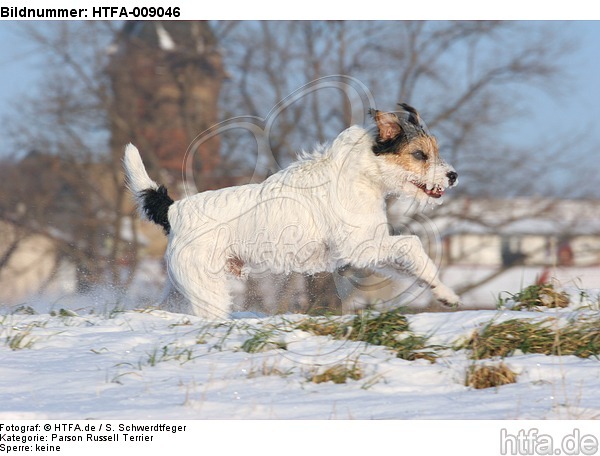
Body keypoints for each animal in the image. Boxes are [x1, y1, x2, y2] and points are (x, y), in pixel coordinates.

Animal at [122, 103, 460, 318]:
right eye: (420, 154)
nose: (453, 176)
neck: (364, 172)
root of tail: (174, 210)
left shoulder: (370, 248)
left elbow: (411, 263)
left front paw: (443, 293)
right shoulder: (360, 246)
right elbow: (412, 245)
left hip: (181, 287)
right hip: (208, 290)